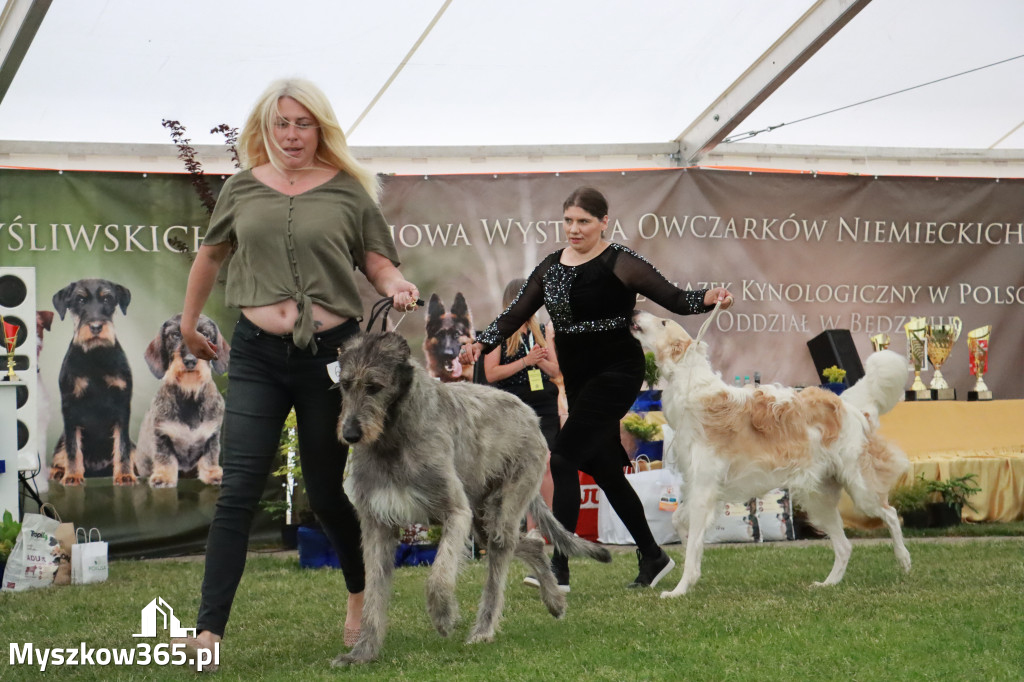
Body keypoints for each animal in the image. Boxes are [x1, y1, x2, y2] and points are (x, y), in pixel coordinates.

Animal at [331, 329, 610, 663]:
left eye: (375, 386)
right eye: (345, 384)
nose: (350, 435)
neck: (392, 435)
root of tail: (528, 411)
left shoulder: (455, 512)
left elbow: (438, 576)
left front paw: (443, 616)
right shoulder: (377, 522)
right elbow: (373, 590)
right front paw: (362, 652)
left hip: (507, 500)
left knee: (503, 554)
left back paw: (484, 629)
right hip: (482, 518)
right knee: (528, 544)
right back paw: (554, 599)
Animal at [630, 311, 913, 598]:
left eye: (663, 322)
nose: (634, 312)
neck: (692, 388)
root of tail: (848, 407)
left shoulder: (703, 490)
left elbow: (690, 550)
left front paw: (678, 590)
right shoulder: (699, 487)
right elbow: (679, 523)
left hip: (859, 488)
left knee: (891, 514)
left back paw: (904, 560)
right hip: (819, 498)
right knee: (845, 546)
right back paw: (827, 583)